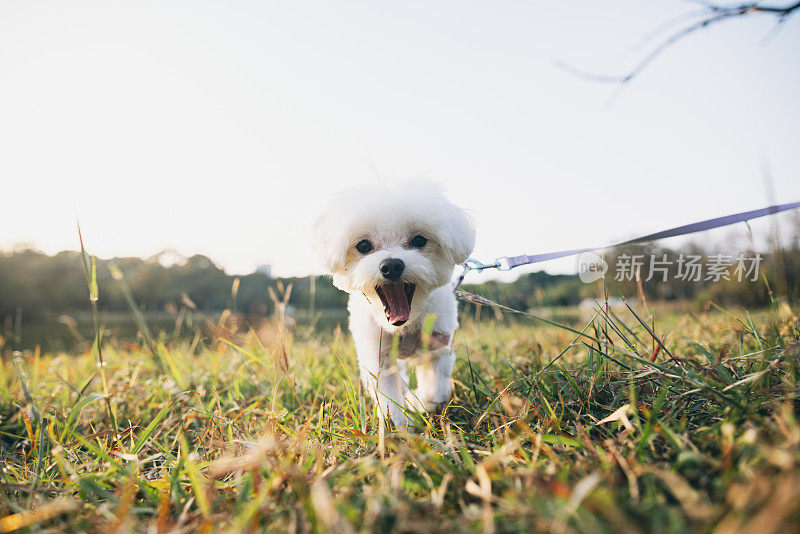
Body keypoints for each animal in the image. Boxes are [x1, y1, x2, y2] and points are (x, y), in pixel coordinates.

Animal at [312, 184, 476, 432]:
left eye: (419, 240)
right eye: (363, 246)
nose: (391, 265)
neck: (405, 327)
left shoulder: (438, 342)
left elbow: (434, 387)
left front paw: (420, 403)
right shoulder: (379, 357)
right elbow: (387, 394)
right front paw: (400, 426)